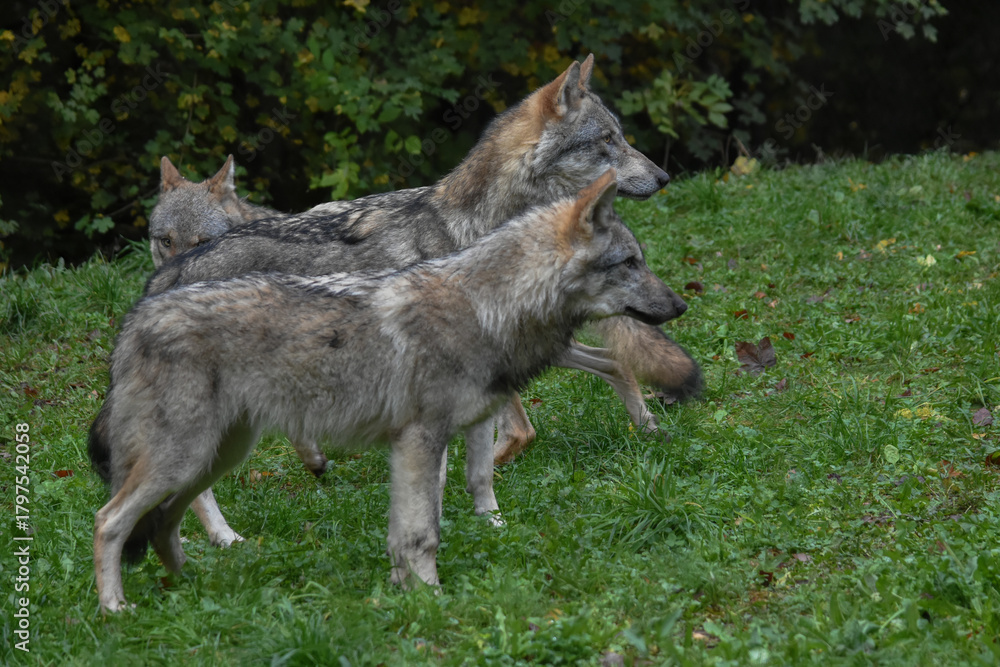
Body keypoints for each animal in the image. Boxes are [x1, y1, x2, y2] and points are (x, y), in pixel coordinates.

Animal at [89, 171, 687, 612]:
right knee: (109, 521)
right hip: (186, 459)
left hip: (216, 456)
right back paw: (117, 610)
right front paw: (432, 600)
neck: (487, 307)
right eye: (630, 263)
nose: (681, 305)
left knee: (163, 523)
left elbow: (441, 509)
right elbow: (423, 532)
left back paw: (193, 587)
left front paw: (414, 587)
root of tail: (139, 313)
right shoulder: (421, 440)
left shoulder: (439, 437)